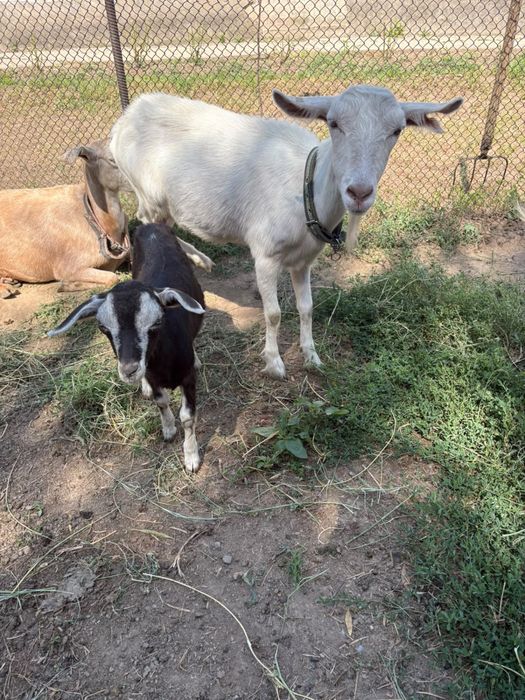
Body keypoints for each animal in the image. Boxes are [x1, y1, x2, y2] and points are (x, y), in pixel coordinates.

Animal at [0, 139, 213, 299]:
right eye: (113, 159)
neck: (101, 226)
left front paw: (203, 260)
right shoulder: (66, 265)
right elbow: (112, 278)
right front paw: (68, 285)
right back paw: (7, 289)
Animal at [48, 223, 206, 473]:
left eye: (157, 323)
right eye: (103, 327)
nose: (129, 370)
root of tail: (150, 225)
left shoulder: (188, 377)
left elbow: (188, 416)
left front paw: (191, 458)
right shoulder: (152, 374)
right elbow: (161, 401)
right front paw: (168, 429)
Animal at [109, 86, 462, 379]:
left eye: (397, 130)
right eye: (333, 123)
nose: (359, 192)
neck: (306, 190)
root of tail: (127, 117)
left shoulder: (304, 261)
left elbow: (307, 308)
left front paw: (312, 356)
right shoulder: (265, 254)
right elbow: (274, 312)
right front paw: (275, 363)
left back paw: (200, 259)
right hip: (149, 196)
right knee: (145, 221)